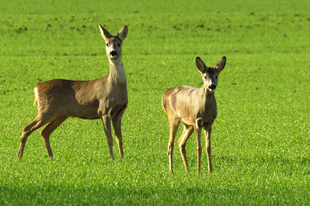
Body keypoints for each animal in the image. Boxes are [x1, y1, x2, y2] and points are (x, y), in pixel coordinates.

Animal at [16, 25, 128, 161]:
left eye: (119, 43)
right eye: (107, 44)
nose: (113, 52)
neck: (115, 85)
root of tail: (37, 87)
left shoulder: (119, 112)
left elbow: (119, 138)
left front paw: (122, 158)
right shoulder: (104, 109)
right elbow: (109, 138)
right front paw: (112, 159)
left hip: (61, 114)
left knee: (44, 132)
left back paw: (51, 157)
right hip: (46, 110)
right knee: (26, 128)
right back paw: (19, 157)